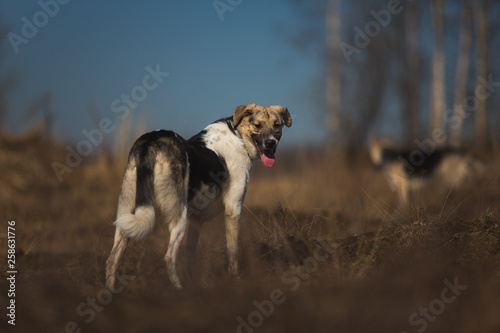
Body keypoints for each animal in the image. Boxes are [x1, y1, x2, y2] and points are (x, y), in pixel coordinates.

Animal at [106, 103, 292, 288]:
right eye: (257, 125)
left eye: (277, 125)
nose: (270, 143)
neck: (238, 135)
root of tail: (151, 140)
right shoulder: (233, 209)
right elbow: (233, 252)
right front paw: (235, 279)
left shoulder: (196, 221)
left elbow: (190, 256)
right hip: (178, 217)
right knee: (169, 257)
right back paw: (180, 290)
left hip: (126, 216)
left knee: (112, 260)